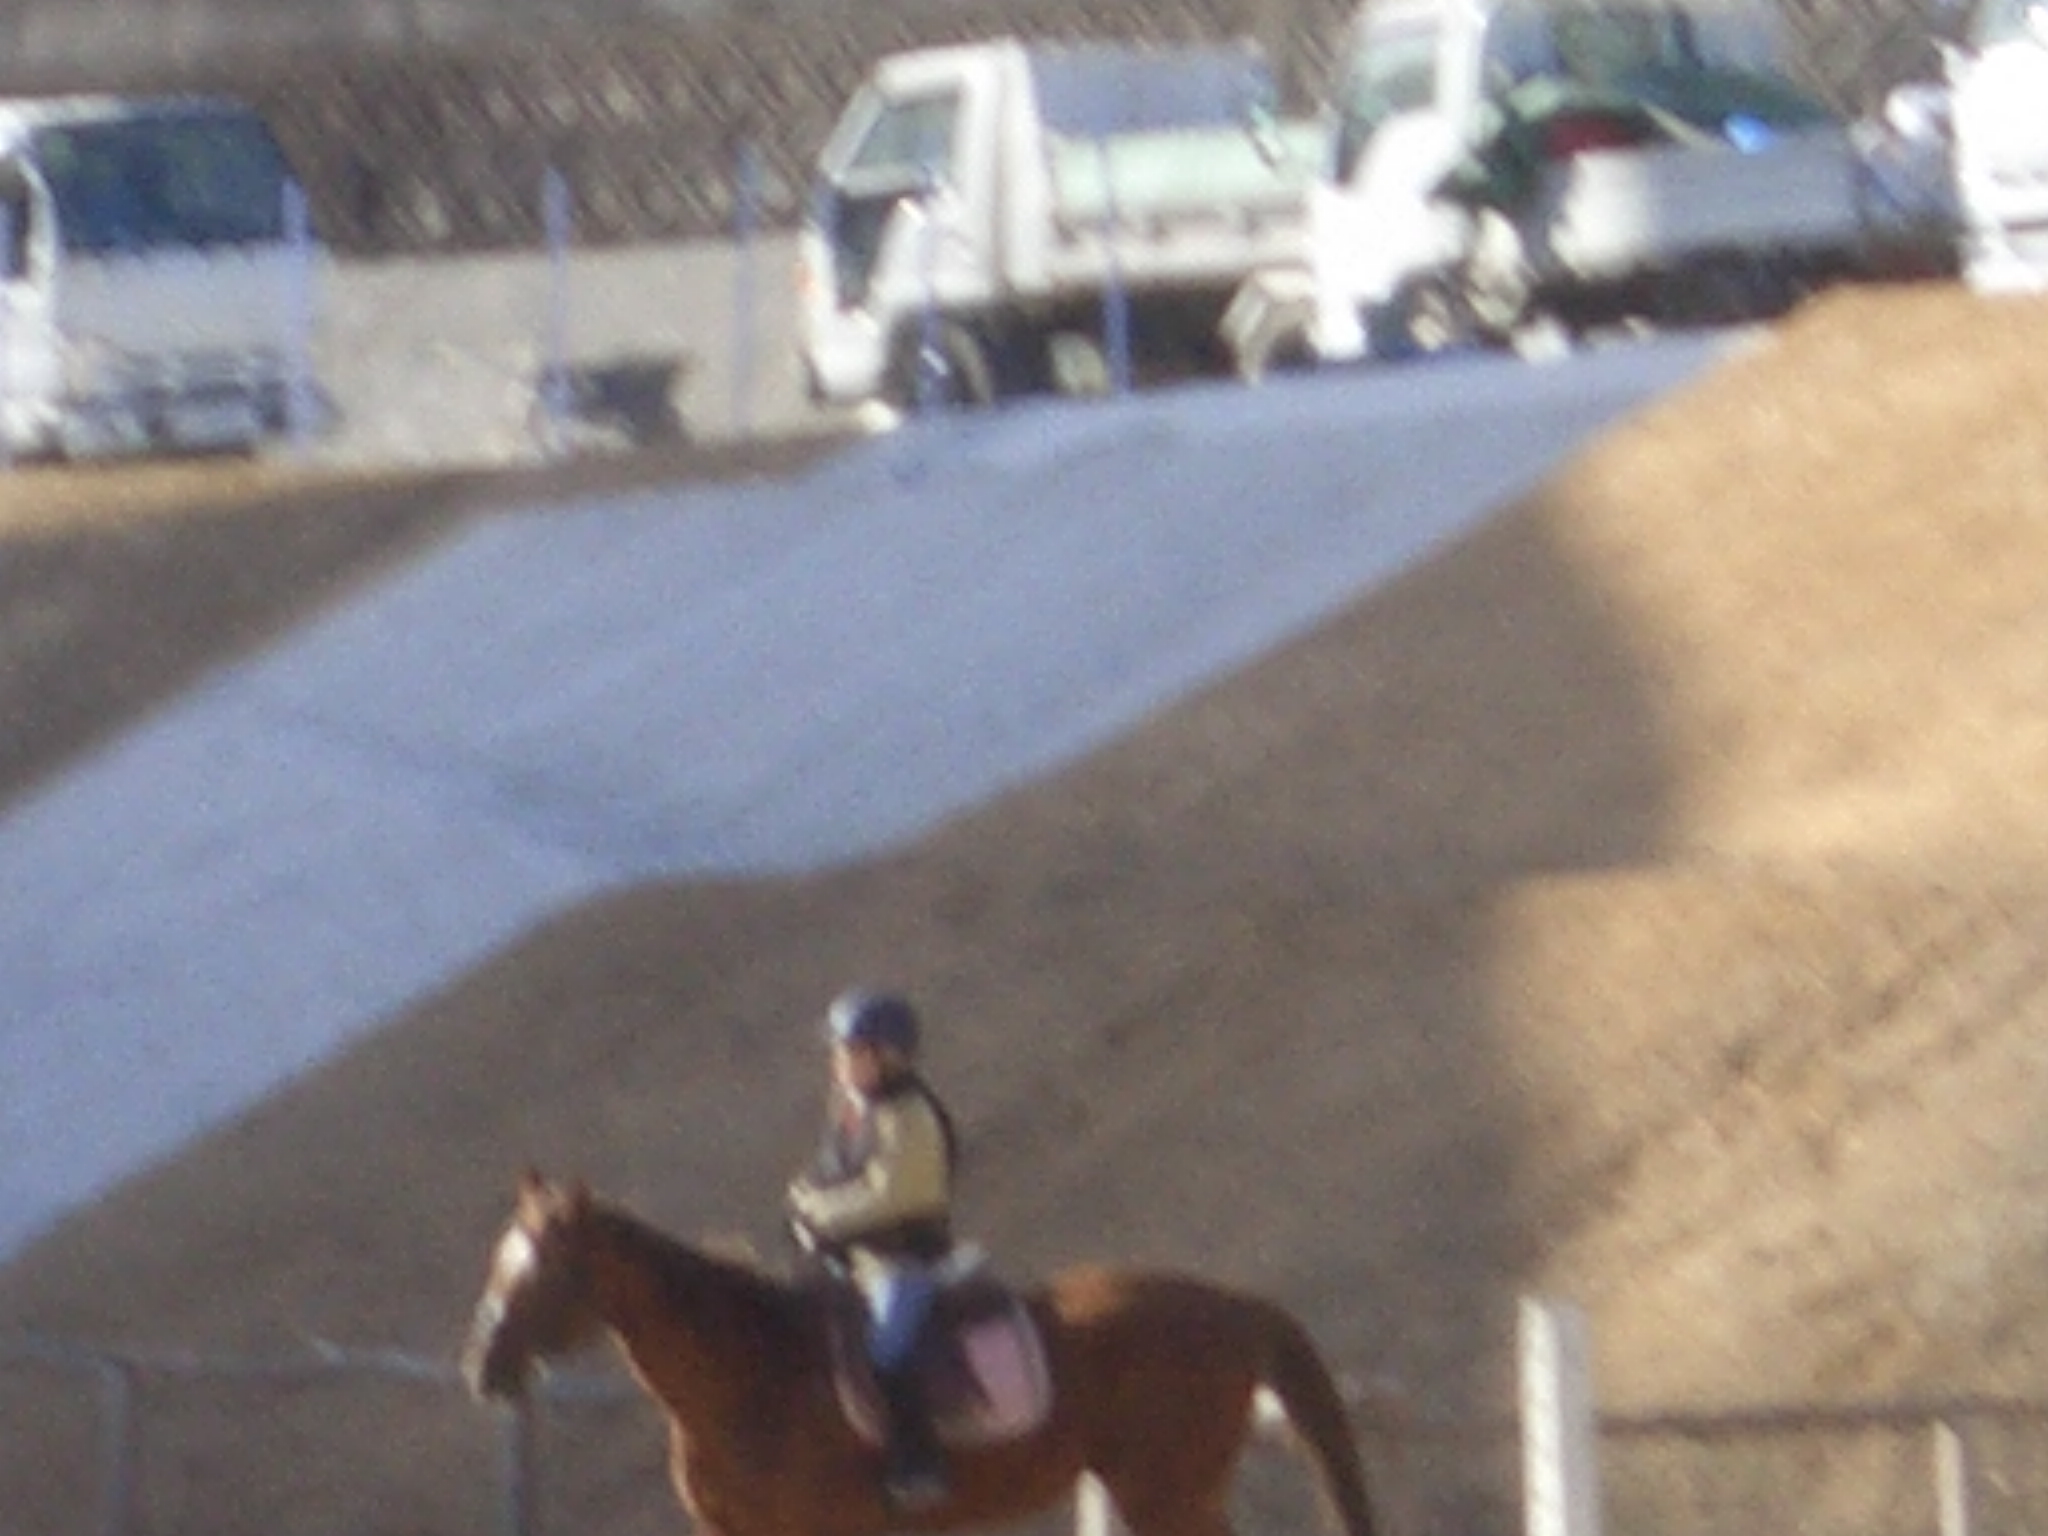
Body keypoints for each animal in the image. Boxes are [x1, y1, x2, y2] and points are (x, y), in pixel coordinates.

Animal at [461, 1170, 1380, 1536]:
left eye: (551, 1269)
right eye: (500, 1257)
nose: (484, 1366)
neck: (746, 1375)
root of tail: (1236, 1307)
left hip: (1167, 1491)